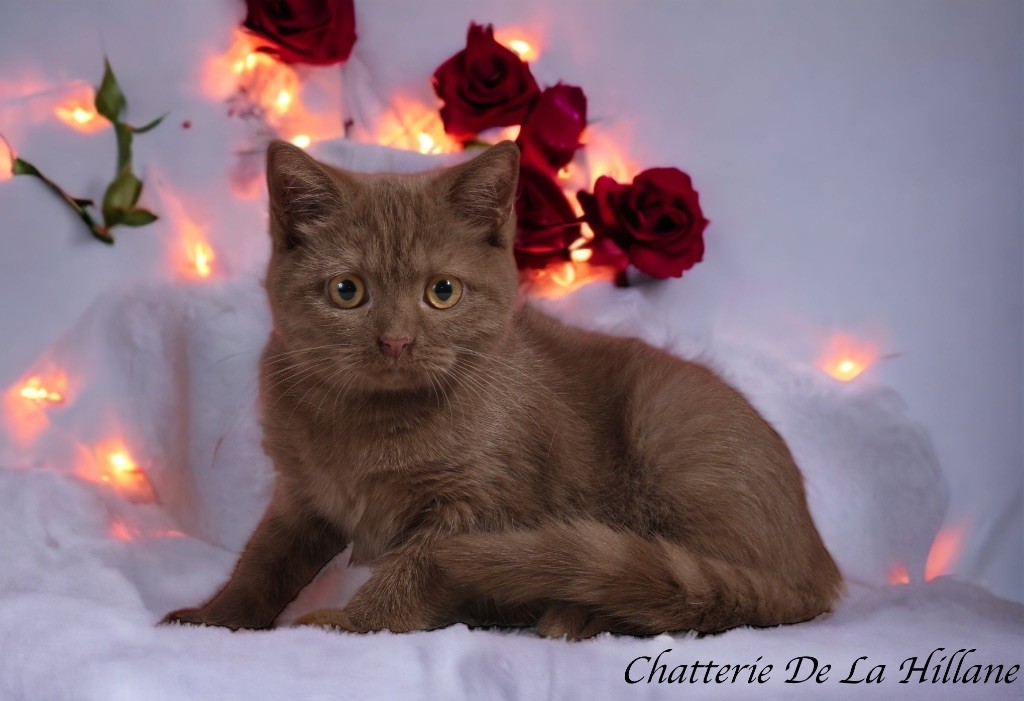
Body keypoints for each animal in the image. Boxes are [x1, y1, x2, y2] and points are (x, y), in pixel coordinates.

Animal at [161, 139, 839, 638]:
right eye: (347, 291)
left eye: (443, 292)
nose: (396, 341)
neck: (370, 425)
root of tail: (820, 566)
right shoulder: (301, 494)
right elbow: (263, 558)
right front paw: (214, 617)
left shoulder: (479, 506)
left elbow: (413, 571)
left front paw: (349, 624)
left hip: (669, 435)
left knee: (701, 595)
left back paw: (576, 615)